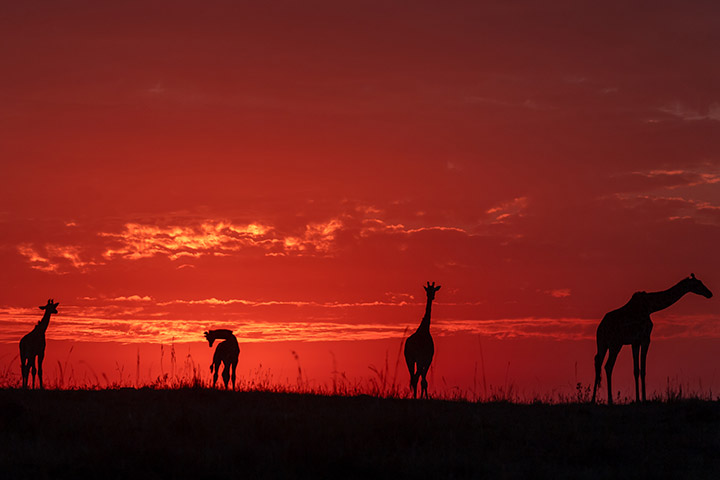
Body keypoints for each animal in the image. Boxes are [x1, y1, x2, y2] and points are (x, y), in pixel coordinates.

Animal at [592, 274, 716, 404]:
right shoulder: (645, 338)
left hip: (602, 343)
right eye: (697, 284)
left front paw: (638, 399)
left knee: (598, 362)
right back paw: (609, 400)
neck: (651, 306)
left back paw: (593, 399)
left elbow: (636, 370)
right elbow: (643, 370)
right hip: (615, 344)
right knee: (608, 365)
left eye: (701, 282)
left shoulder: (635, 341)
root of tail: (600, 327)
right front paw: (644, 399)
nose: (709, 293)